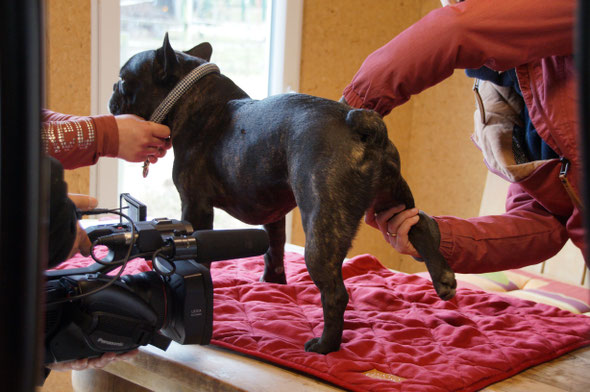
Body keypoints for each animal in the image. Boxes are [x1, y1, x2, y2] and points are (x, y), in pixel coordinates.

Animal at [108, 36, 456, 356]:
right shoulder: (273, 213)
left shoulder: (195, 204)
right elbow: (274, 248)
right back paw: (443, 279)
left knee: (335, 293)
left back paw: (325, 345)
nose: (112, 91)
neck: (191, 96)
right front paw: (274, 284)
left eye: (124, 80)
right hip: (391, 199)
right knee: (419, 226)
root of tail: (360, 125)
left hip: (323, 227)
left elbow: (199, 247)